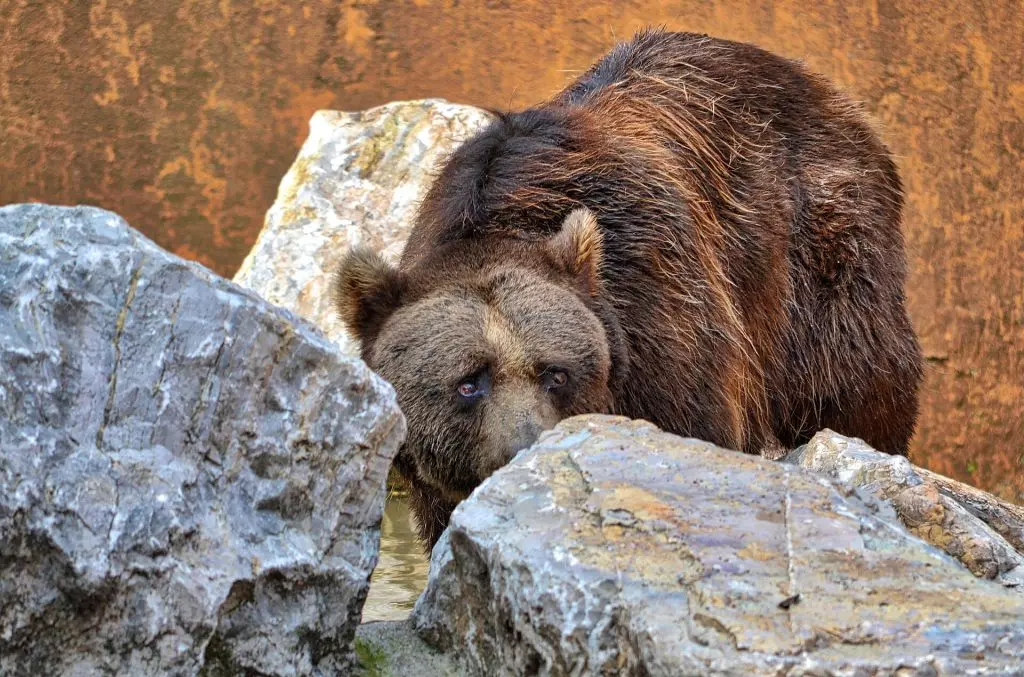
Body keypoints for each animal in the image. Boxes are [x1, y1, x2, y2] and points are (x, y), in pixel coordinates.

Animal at [334, 28, 924, 549]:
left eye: (556, 373)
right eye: (467, 382)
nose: (522, 449)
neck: (505, 215)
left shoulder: (659, 307)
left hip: (817, 254)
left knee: (852, 384)